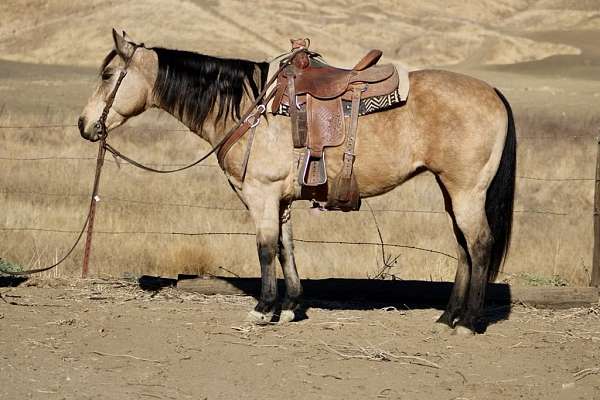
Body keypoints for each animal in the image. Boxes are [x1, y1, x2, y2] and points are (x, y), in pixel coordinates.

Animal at [77, 29, 512, 334]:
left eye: (108, 74)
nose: (84, 124)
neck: (250, 108)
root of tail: (492, 91)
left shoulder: (262, 193)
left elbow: (266, 248)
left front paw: (263, 308)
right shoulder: (282, 199)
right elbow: (287, 248)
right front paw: (289, 308)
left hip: (466, 191)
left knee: (479, 244)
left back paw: (468, 322)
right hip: (451, 190)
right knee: (462, 247)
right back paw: (447, 317)